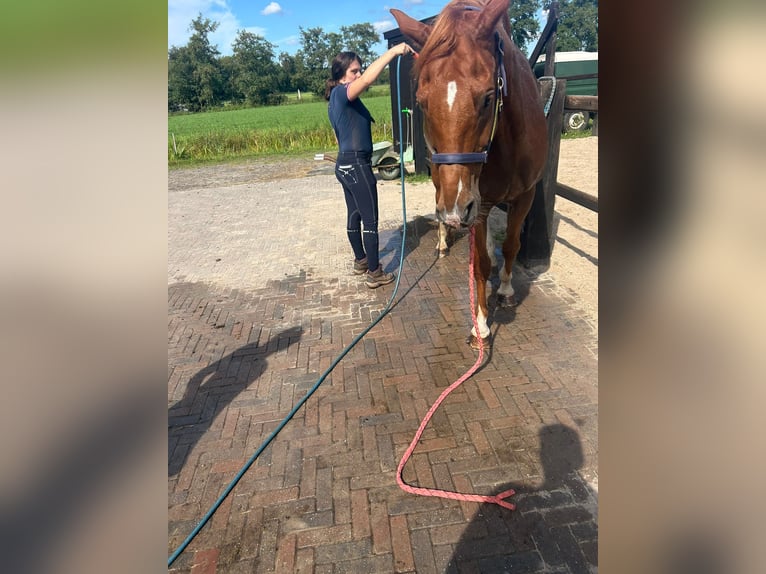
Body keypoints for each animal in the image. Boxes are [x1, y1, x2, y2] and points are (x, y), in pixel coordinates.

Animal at [391, 0, 548, 349]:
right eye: (422, 102)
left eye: (488, 98)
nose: (454, 212)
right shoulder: (477, 204)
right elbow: (480, 265)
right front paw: (480, 323)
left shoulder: (523, 195)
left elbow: (512, 245)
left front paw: (505, 290)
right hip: (443, 180)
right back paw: (442, 241)